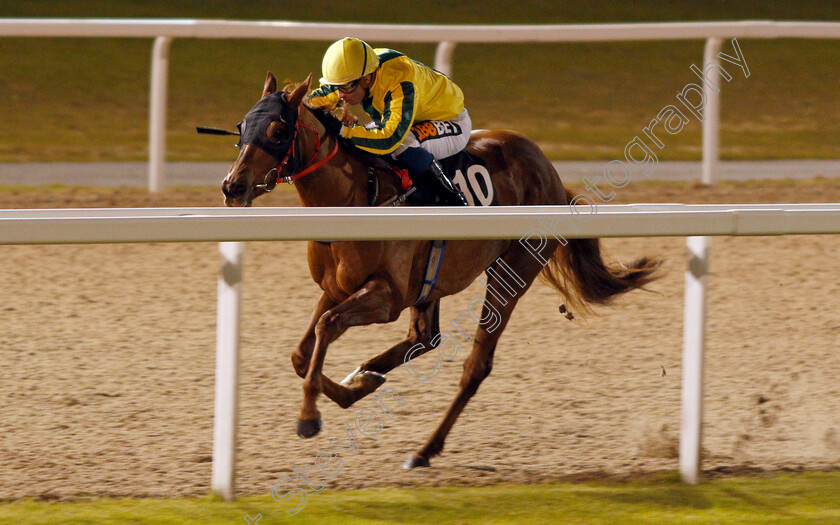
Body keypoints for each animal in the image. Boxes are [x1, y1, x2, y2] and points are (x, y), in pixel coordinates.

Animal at [221, 72, 664, 466]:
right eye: (242, 126)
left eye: (278, 130)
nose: (232, 187)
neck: (355, 198)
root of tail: (553, 177)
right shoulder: (336, 287)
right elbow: (302, 351)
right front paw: (357, 384)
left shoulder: (386, 297)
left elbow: (327, 327)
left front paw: (309, 417)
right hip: (431, 283)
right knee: (424, 337)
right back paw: (368, 375)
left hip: (511, 271)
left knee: (474, 365)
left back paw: (424, 449)